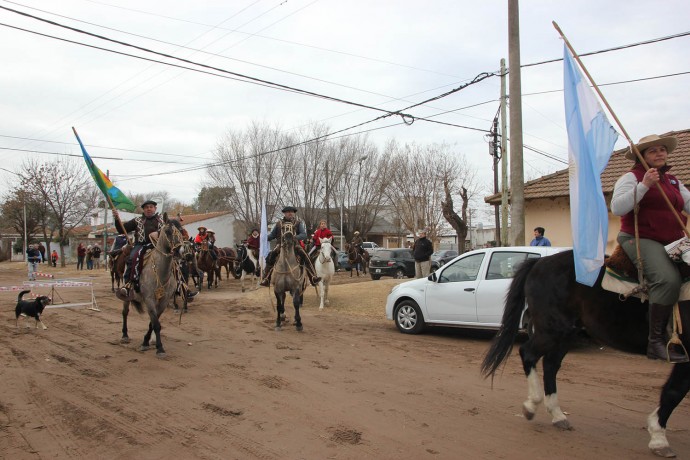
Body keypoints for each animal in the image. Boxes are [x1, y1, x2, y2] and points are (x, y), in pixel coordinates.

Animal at [120, 216, 185, 360]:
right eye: (167, 231)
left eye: (181, 231)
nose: (180, 251)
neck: (160, 273)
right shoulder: (149, 299)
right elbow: (156, 324)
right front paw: (160, 349)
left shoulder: (163, 301)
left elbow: (153, 323)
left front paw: (146, 341)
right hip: (127, 296)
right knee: (125, 312)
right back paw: (125, 335)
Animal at [478, 250, 688, 458]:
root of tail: (540, 262)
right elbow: (674, 391)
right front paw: (659, 438)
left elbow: (675, 390)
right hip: (553, 329)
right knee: (528, 353)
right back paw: (532, 404)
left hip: (567, 332)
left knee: (550, 364)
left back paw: (557, 414)